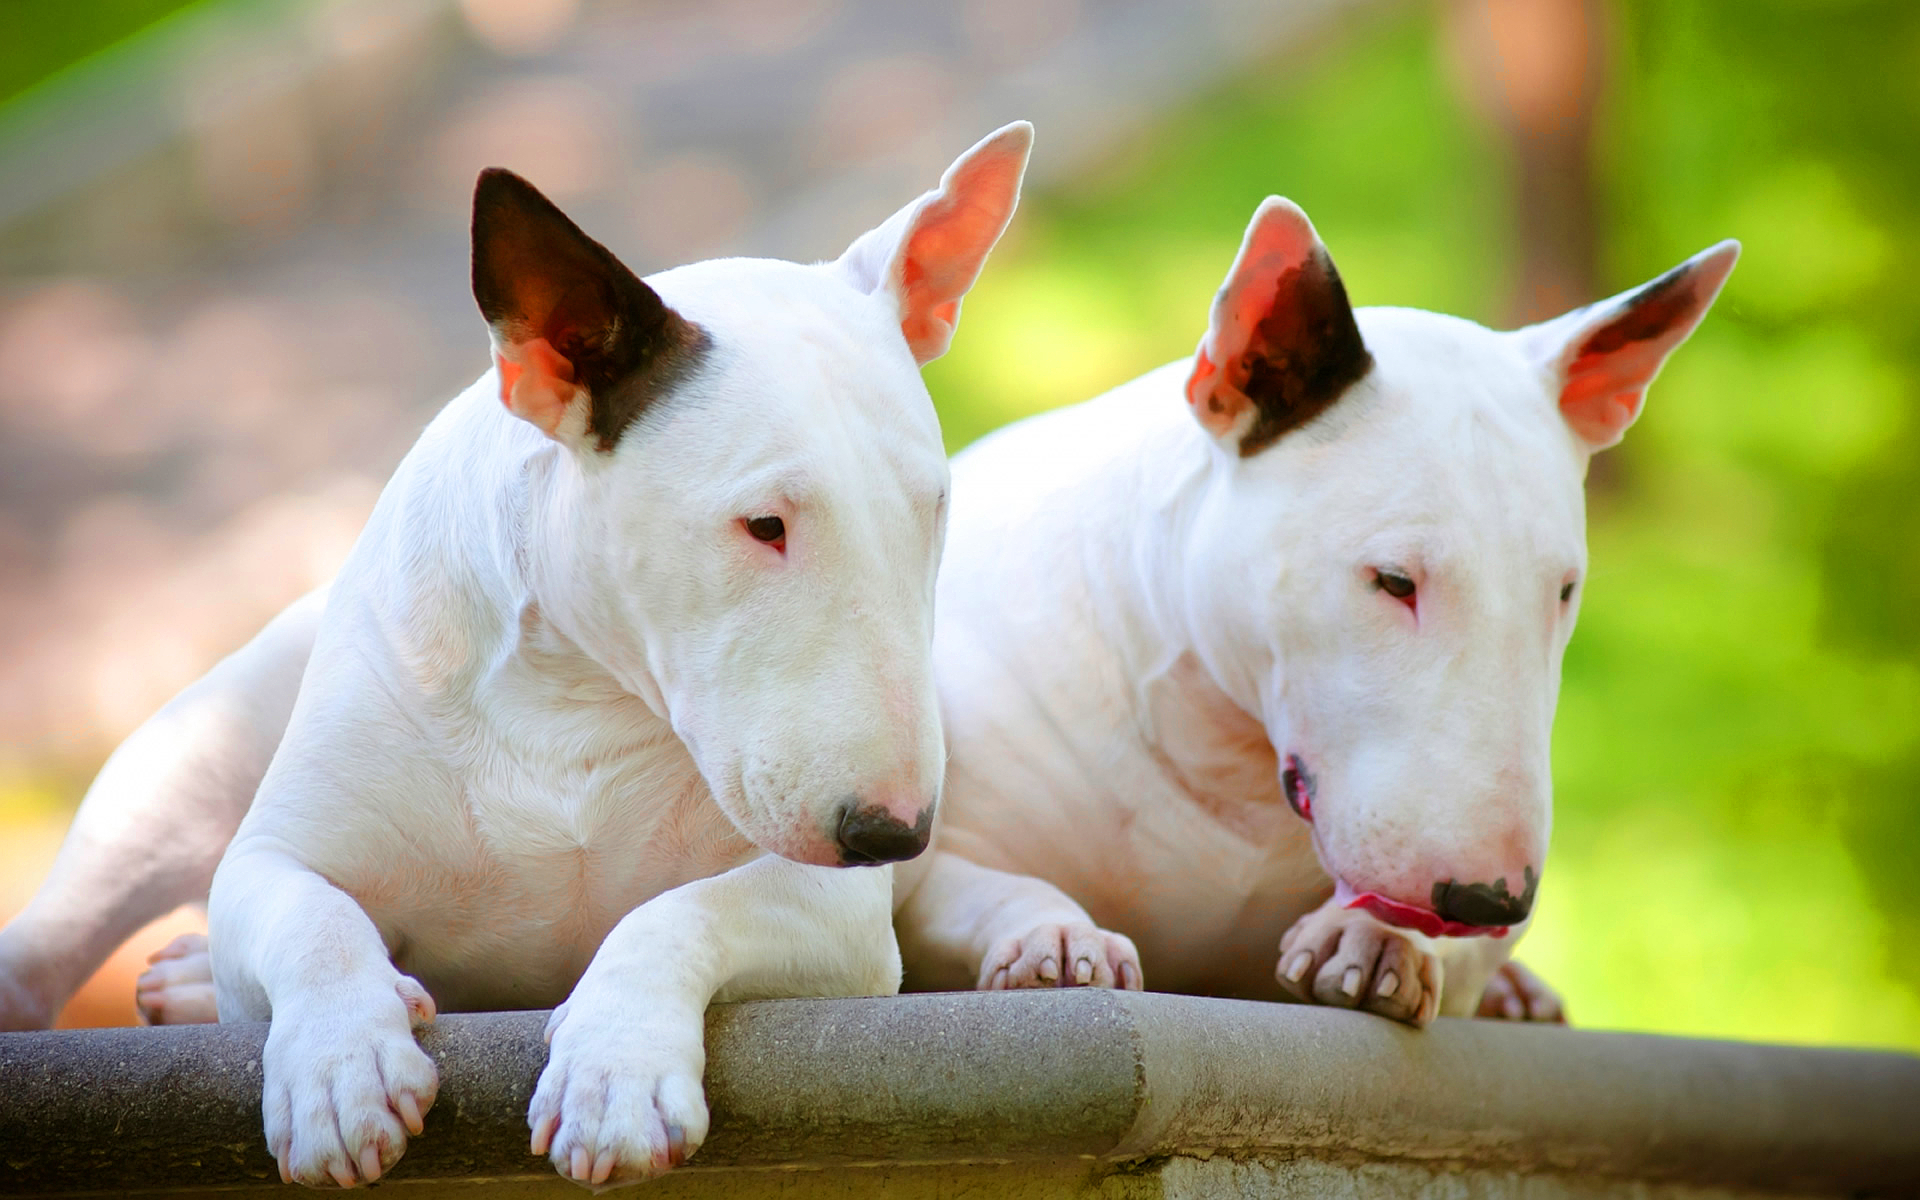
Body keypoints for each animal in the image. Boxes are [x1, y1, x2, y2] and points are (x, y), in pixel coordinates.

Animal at [0, 121, 1033, 1191]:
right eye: (764, 524)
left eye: (931, 506)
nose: (891, 832)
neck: (573, 697)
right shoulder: (271, 857)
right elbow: (310, 916)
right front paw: (338, 1067)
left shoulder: (840, 915)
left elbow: (686, 909)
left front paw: (616, 1069)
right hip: (187, 758)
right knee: (54, 935)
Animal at [891, 196, 1737, 1025]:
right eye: (1393, 580)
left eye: (1562, 590)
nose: (1487, 900)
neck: (1226, 763)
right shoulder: (936, 852)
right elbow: (976, 888)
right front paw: (1058, 940)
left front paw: (1376, 941)